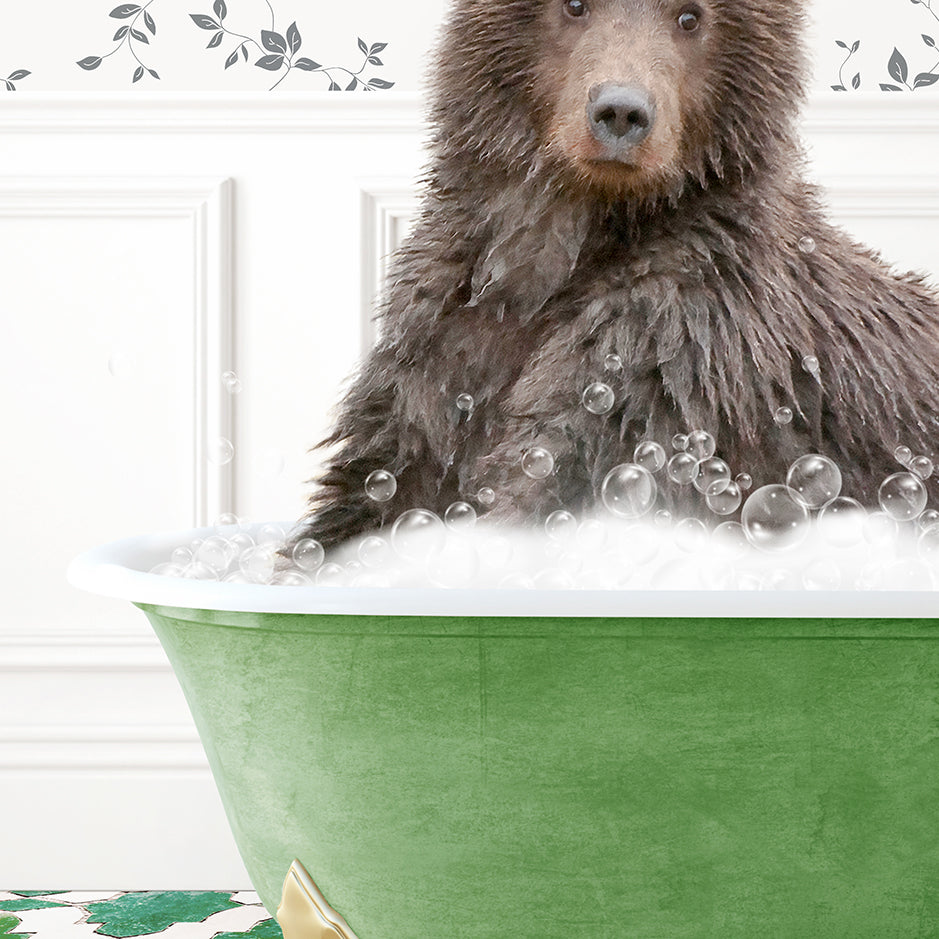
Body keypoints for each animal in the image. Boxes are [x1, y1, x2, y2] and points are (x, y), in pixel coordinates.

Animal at [290, 0, 939, 552]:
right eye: (575, 5)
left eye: (690, 16)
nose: (621, 112)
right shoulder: (440, 357)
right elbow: (372, 492)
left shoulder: (666, 360)